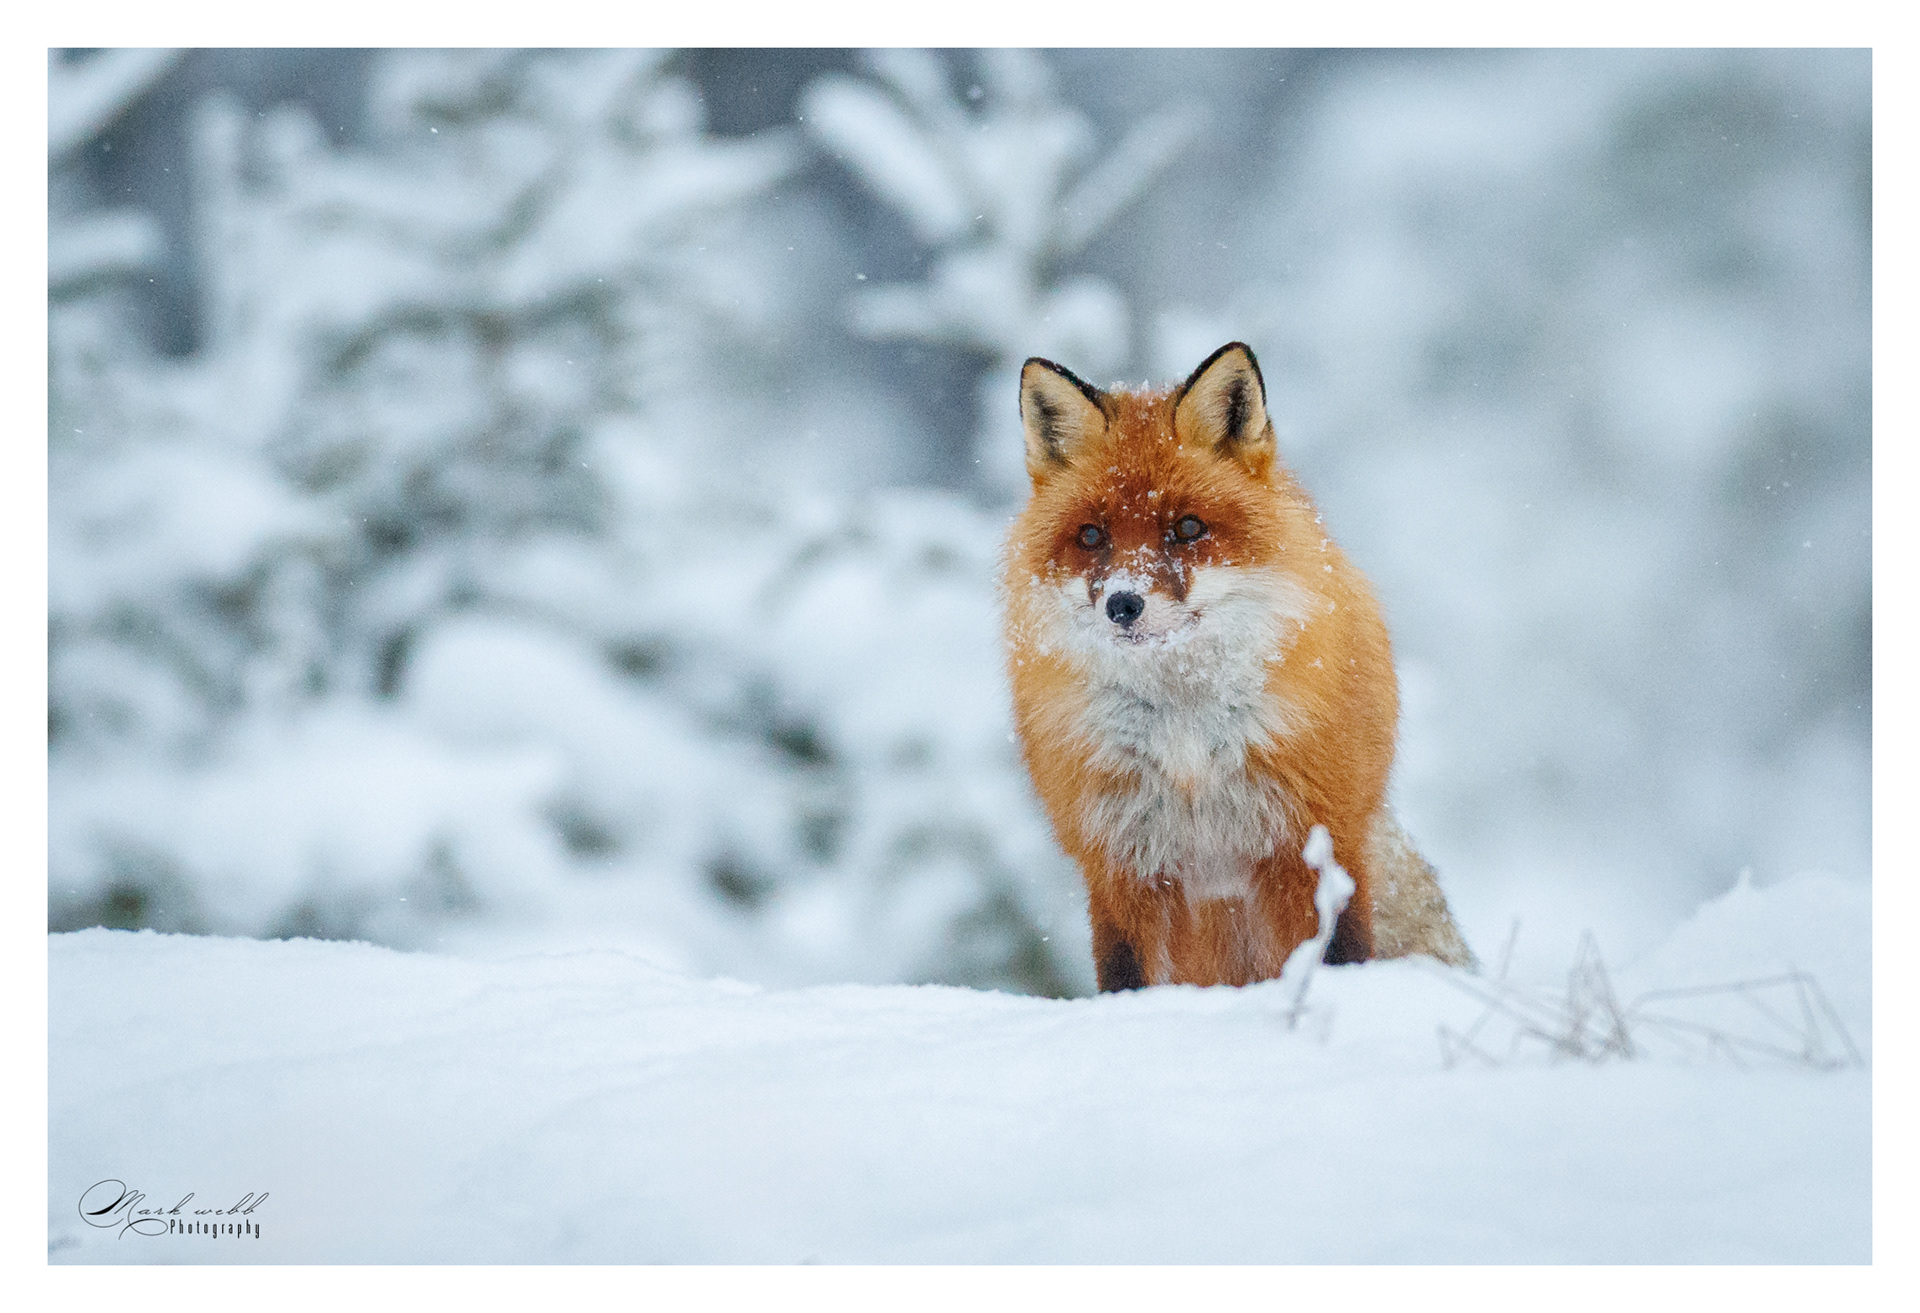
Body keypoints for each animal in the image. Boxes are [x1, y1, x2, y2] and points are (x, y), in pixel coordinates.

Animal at [1001, 342, 1474, 991]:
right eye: (1091, 536)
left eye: (1187, 528)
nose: (1123, 604)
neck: (1187, 738)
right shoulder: (1120, 865)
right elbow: (1126, 980)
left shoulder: (1315, 842)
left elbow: (1335, 953)